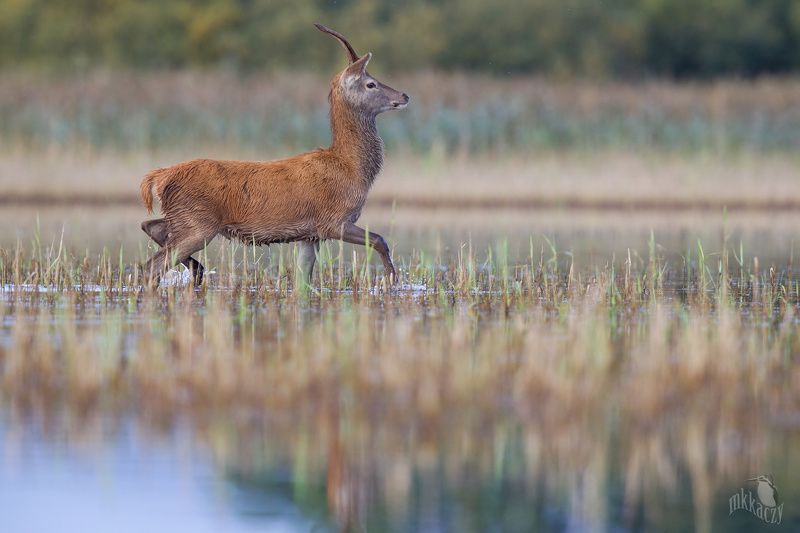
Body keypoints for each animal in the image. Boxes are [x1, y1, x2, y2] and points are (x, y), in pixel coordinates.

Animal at [139, 23, 409, 286]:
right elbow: (380, 239)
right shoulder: (333, 220)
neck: (351, 168)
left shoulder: (310, 234)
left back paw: (197, 269)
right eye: (371, 83)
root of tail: (160, 177)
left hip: (183, 217)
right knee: (151, 266)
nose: (404, 96)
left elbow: (304, 280)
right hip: (197, 222)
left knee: (150, 227)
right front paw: (391, 280)